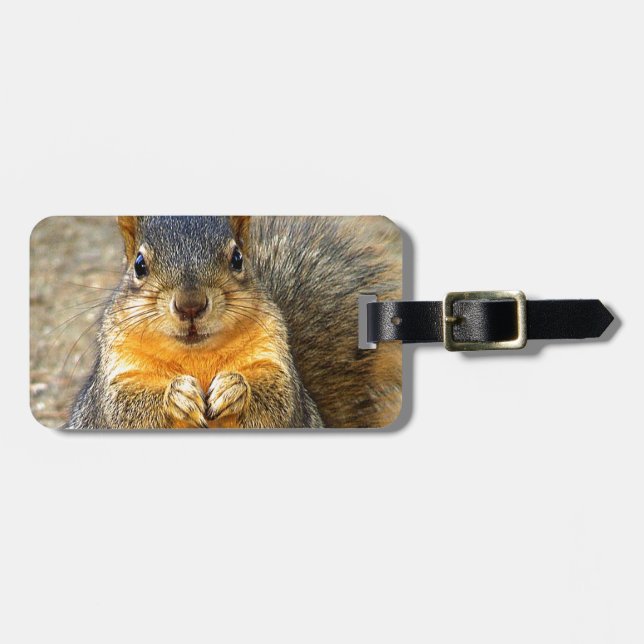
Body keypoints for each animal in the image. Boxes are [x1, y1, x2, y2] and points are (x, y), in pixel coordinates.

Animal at [67, 216, 402, 429]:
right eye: (139, 265)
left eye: (237, 259)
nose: (190, 305)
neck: (196, 354)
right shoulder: (117, 373)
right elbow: (121, 406)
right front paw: (177, 395)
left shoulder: (275, 357)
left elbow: (281, 399)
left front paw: (234, 388)